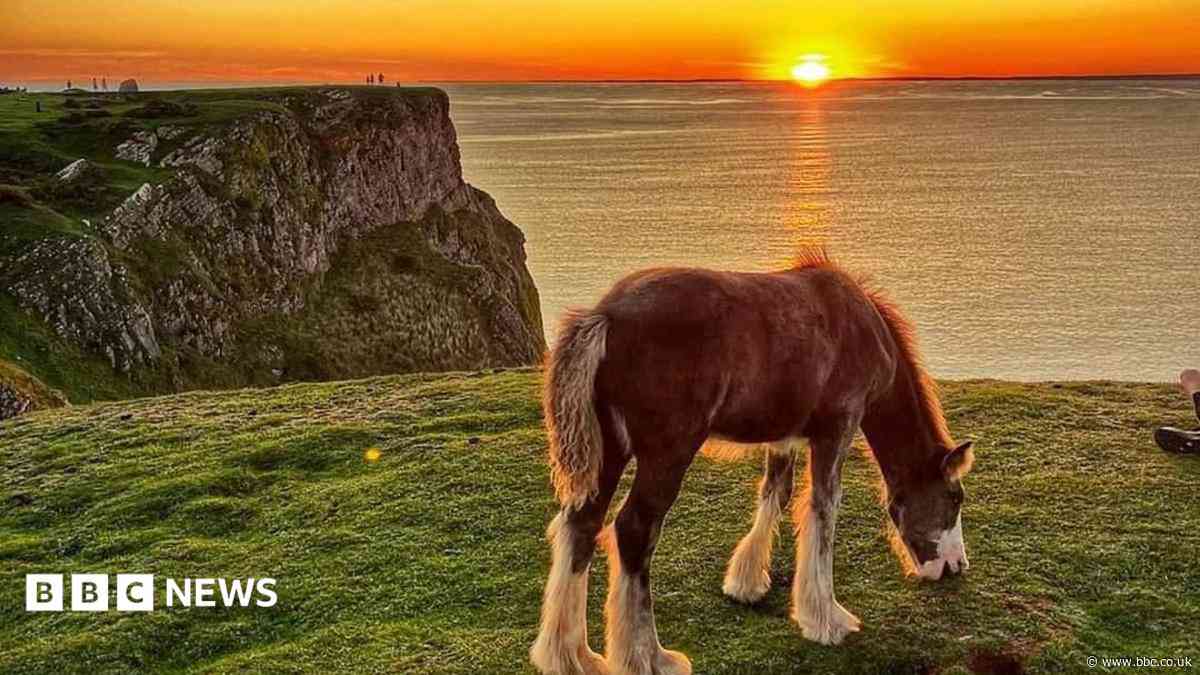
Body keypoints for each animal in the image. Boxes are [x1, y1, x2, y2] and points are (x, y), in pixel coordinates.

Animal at [530, 250, 975, 675]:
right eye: (955, 499)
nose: (954, 566)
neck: (861, 325)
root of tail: (604, 315)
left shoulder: (784, 437)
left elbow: (776, 495)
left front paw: (746, 582)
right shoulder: (837, 429)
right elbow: (822, 512)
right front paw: (827, 619)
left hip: (610, 452)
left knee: (581, 525)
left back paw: (571, 655)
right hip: (667, 454)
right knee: (634, 531)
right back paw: (647, 658)